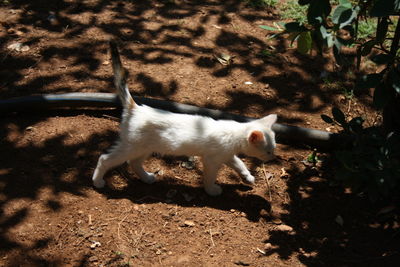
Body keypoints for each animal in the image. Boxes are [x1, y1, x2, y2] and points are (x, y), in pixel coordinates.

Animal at [92, 42, 276, 197]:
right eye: (268, 151)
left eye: (273, 149)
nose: (272, 158)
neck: (234, 133)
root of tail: (135, 107)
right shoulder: (211, 160)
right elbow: (210, 176)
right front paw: (211, 190)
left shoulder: (227, 155)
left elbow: (240, 164)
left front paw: (248, 177)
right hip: (132, 146)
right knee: (105, 158)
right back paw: (97, 181)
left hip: (145, 147)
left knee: (134, 162)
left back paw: (147, 178)